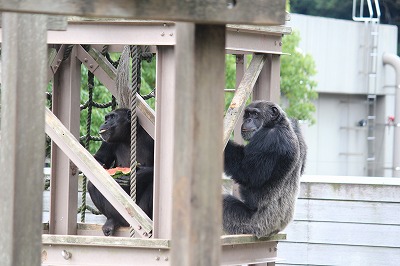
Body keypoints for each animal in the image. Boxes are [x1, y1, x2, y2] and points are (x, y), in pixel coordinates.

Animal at [87, 108, 155, 237]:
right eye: (106, 118)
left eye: (113, 117)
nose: (105, 122)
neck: (128, 137)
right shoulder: (107, 141)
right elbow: (99, 160)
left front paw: (137, 175)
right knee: (92, 183)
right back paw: (111, 221)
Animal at [222, 101, 306, 238]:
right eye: (248, 113)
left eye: (255, 114)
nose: (248, 120)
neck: (277, 124)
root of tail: (275, 230)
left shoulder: (269, 139)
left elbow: (248, 174)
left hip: (248, 225)